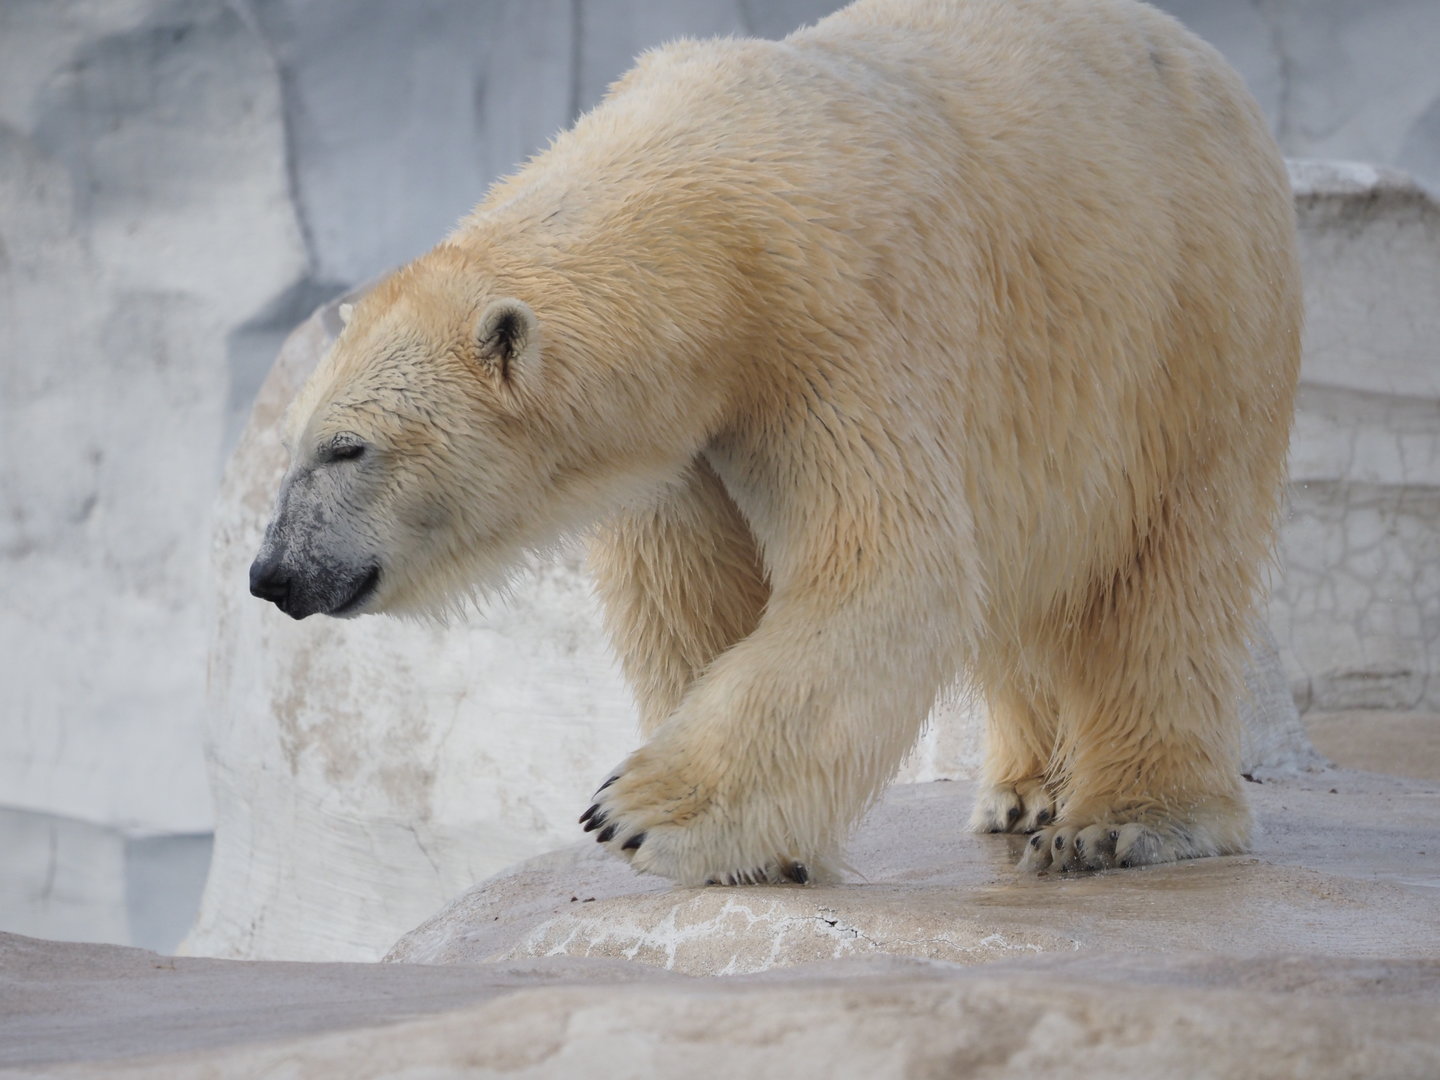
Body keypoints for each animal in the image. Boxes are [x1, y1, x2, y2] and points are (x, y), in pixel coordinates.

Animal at [249, 0, 1301, 887]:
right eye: (296, 444)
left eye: (347, 450)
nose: (273, 573)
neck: (706, 199)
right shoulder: (686, 426)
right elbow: (690, 588)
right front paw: (761, 849)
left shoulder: (840, 322)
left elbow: (885, 565)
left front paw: (640, 811)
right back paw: (1024, 789)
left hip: (1194, 318)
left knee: (1166, 570)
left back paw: (1120, 821)